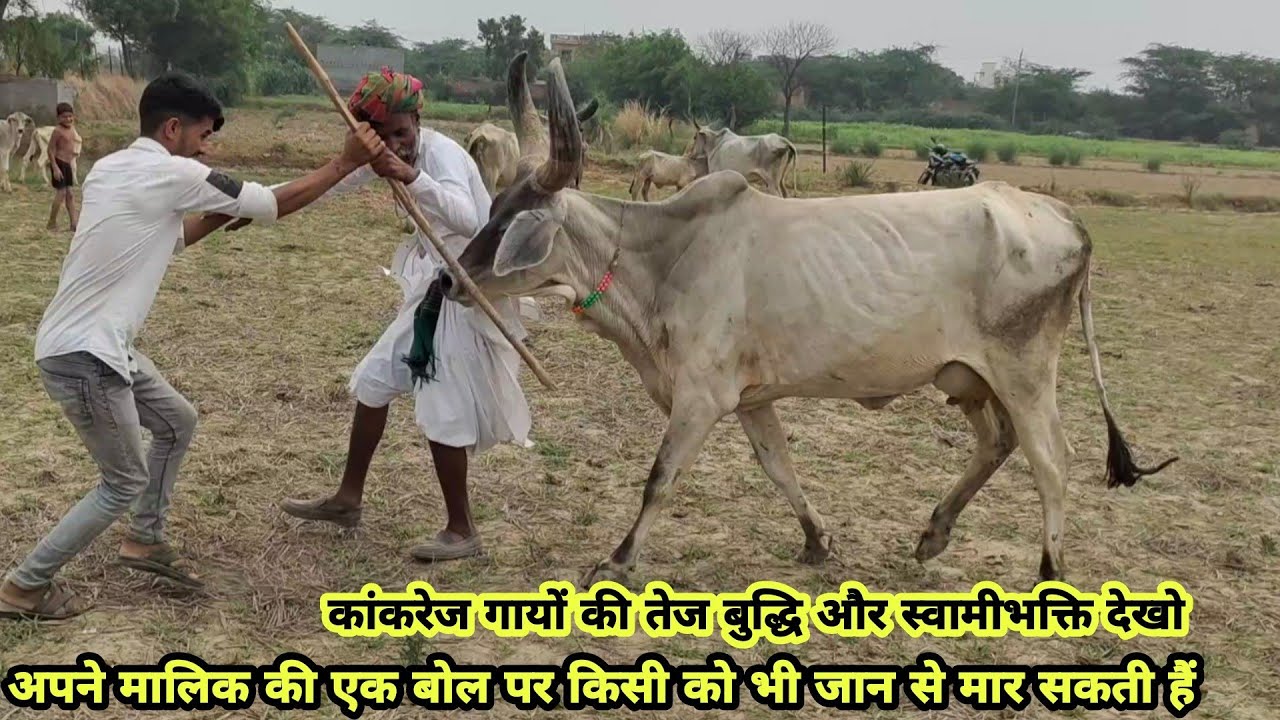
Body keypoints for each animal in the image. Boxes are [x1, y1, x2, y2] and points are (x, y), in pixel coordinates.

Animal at [441, 56, 1177, 586]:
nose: (450, 279)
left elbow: (660, 478)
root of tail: (1063, 215)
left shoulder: (701, 398)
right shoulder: (748, 397)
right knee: (997, 443)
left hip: (1024, 371)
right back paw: (933, 533)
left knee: (1051, 458)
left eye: (514, 225)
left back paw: (1049, 570)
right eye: (492, 207)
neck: (665, 256)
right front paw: (818, 541)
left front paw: (618, 559)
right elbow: (779, 466)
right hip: (967, 376)